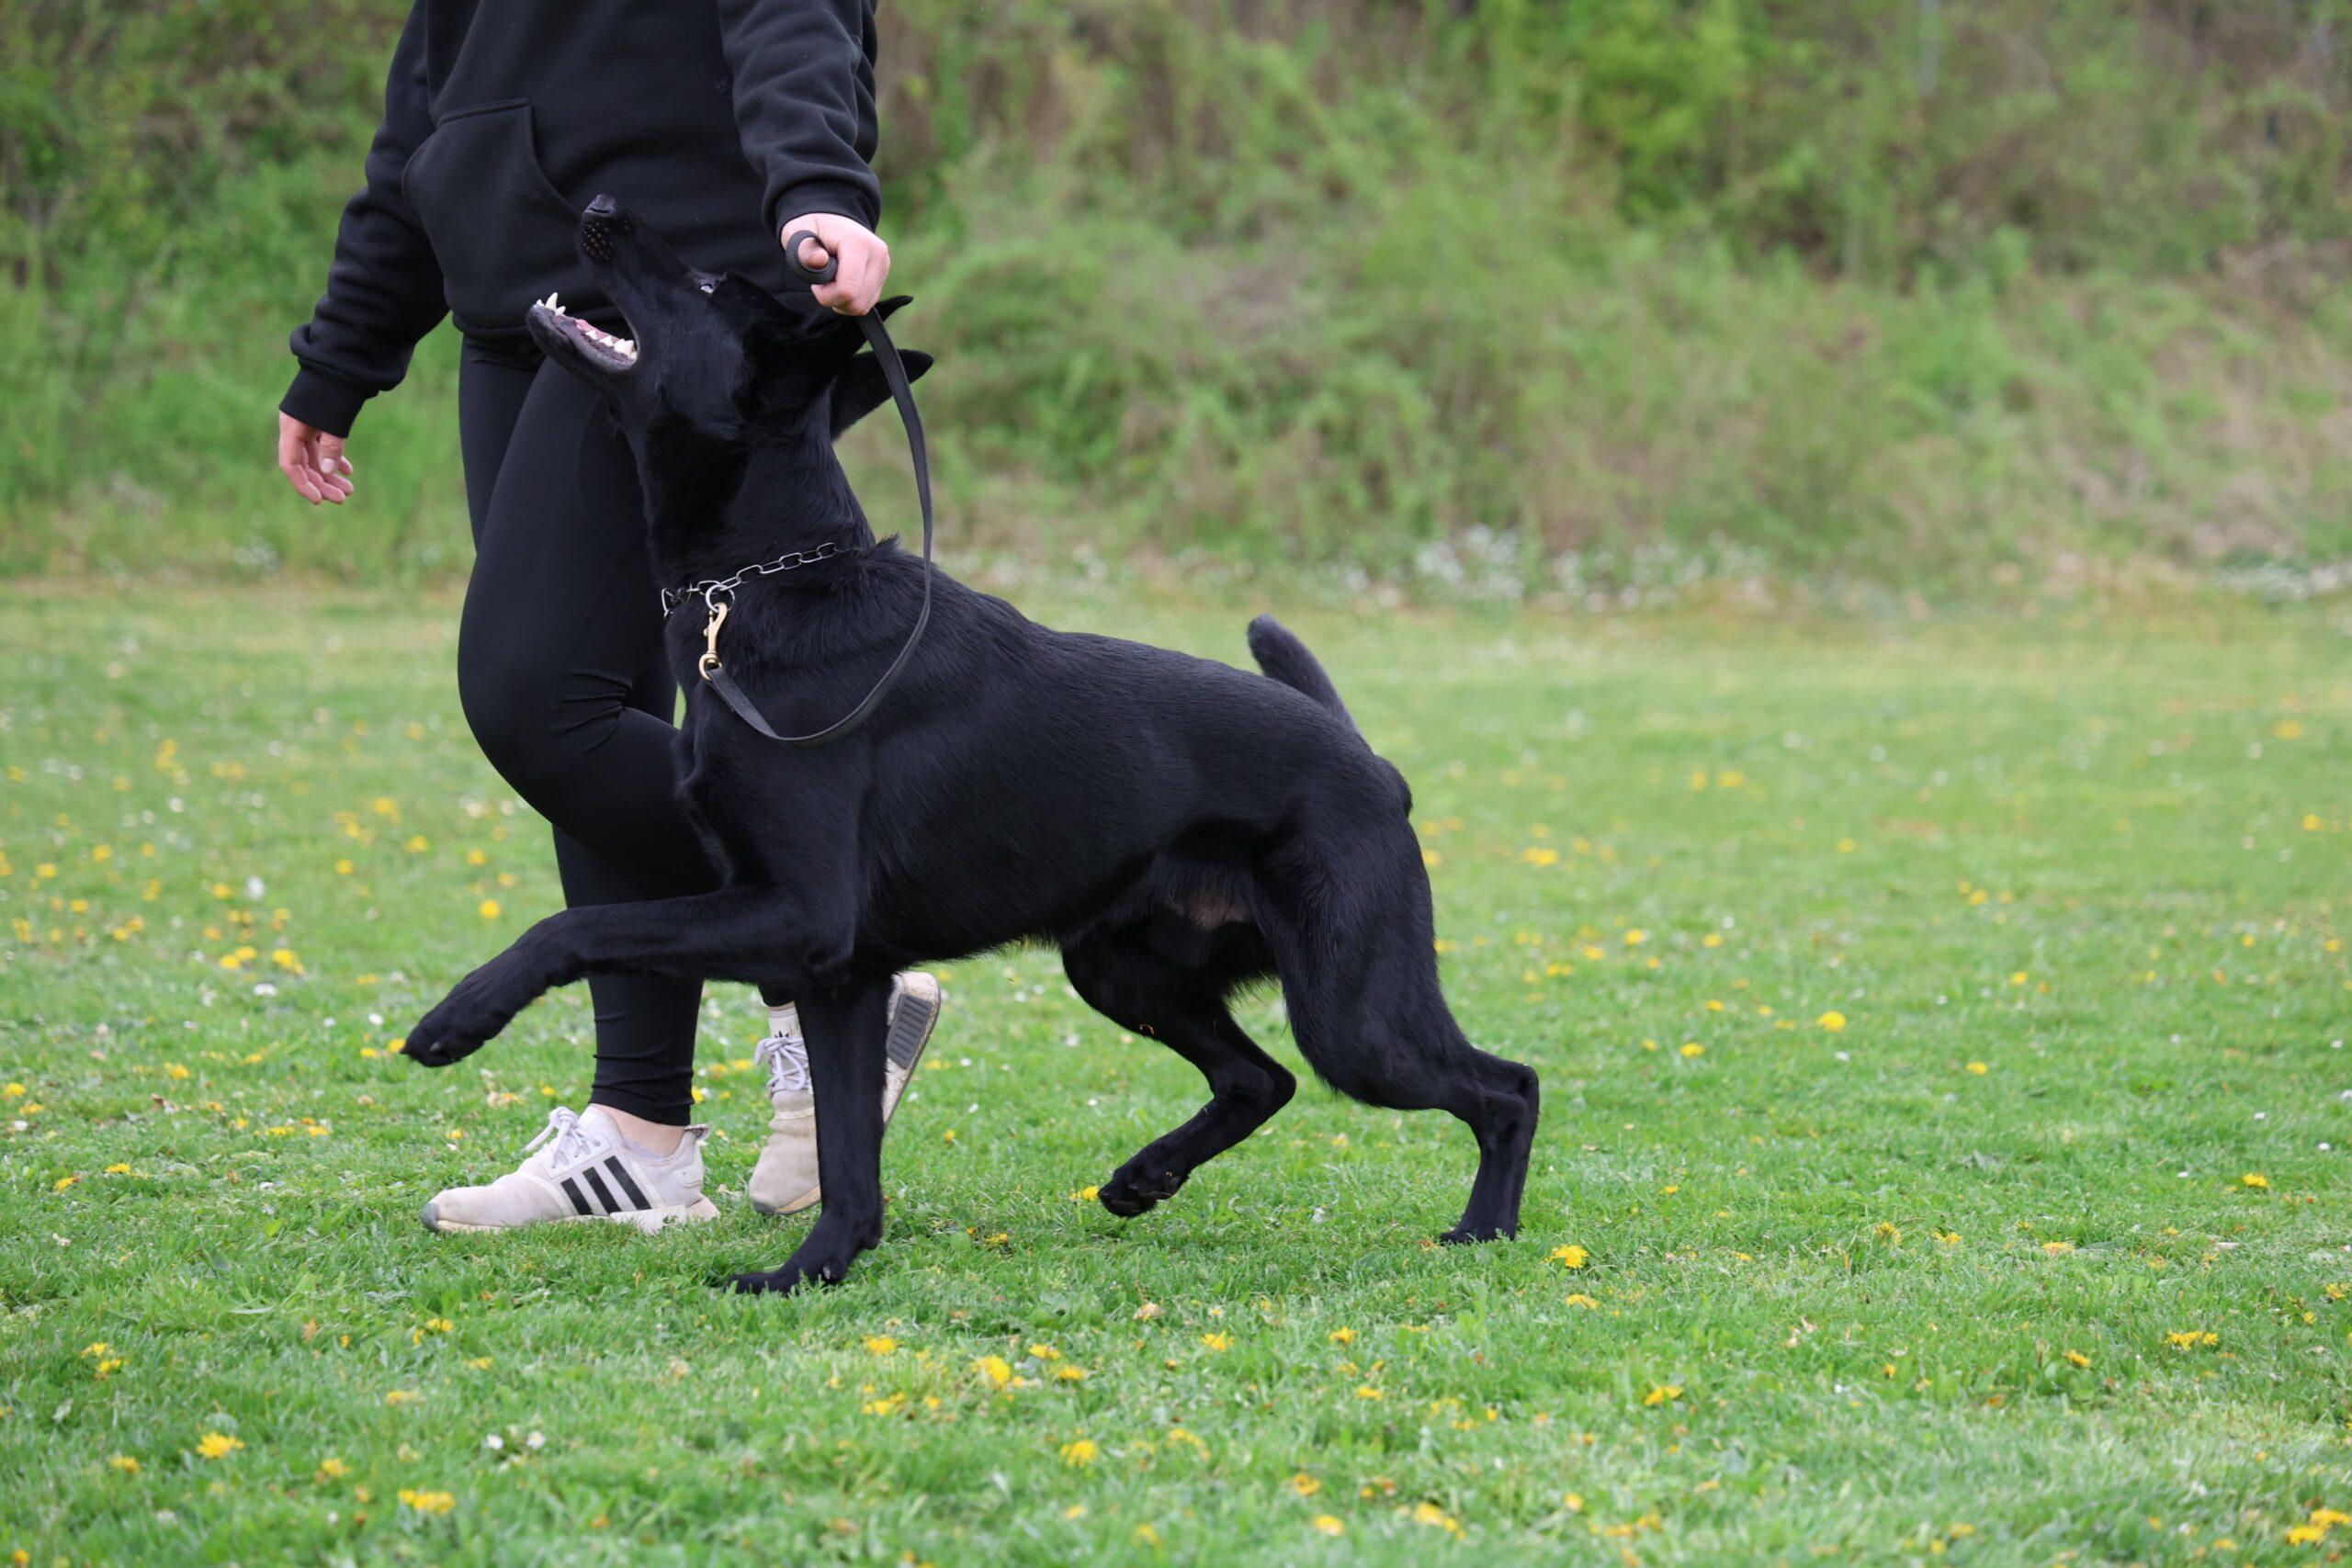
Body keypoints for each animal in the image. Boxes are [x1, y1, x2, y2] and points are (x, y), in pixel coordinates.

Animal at [403, 196, 1540, 1293]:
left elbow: (579, 925)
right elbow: (849, 1165)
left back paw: (1482, 1231)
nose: (599, 205)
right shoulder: (842, 975)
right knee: (1261, 1076)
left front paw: (458, 1016)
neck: (768, 581)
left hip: (1354, 1017)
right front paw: (814, 1271)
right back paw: (1145, 1177)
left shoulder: (799, 917)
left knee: (1505, 1087)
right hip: (1122, 970)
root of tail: (1364, 757)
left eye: (710, 283)